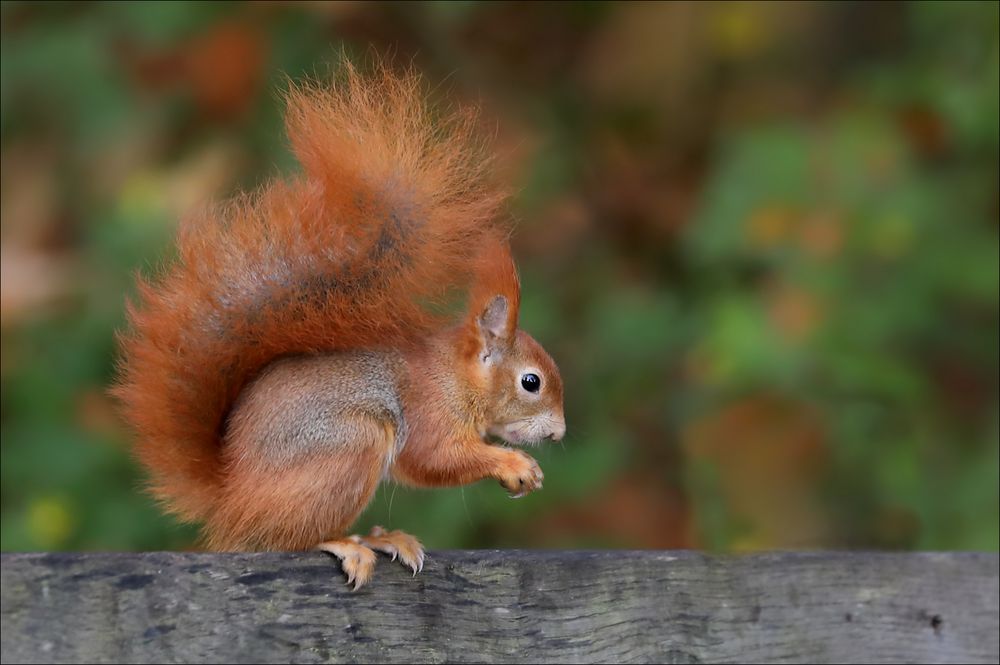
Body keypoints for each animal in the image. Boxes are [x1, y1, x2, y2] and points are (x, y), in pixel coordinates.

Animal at [113, 62, 568, 588]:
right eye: (531, 383)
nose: (559, 434)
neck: (455, 377)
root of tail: (231, 499)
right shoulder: (427, 412)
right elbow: (435, 458)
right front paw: (514, 464)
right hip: (350, 446)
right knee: (288, 537)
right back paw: (348, 544)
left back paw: (380, 537)